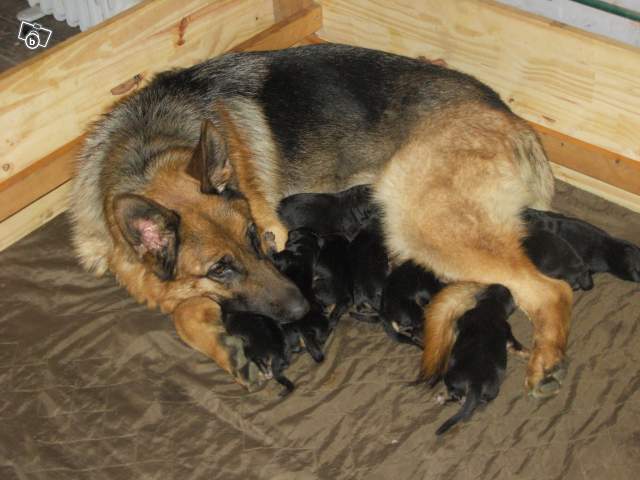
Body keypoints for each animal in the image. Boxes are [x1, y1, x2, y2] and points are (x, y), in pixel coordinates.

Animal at [72, 43, 568, 395]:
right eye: (220, 269)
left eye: (258, 238)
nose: (300, 309)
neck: (148, 150)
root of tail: (516, 124)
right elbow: (184, 311)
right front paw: (225, 347)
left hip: (418, 219)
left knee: (549, 289)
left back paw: (546, 359)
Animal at [435, 284, 524, 435]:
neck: (489, 307)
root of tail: (475, 382)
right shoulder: (507, 328)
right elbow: (513, 340)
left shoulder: (465, 317)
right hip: (492, 389)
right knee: (482, 400)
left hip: (449, 377)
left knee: (455, 394)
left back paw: (445, 398)